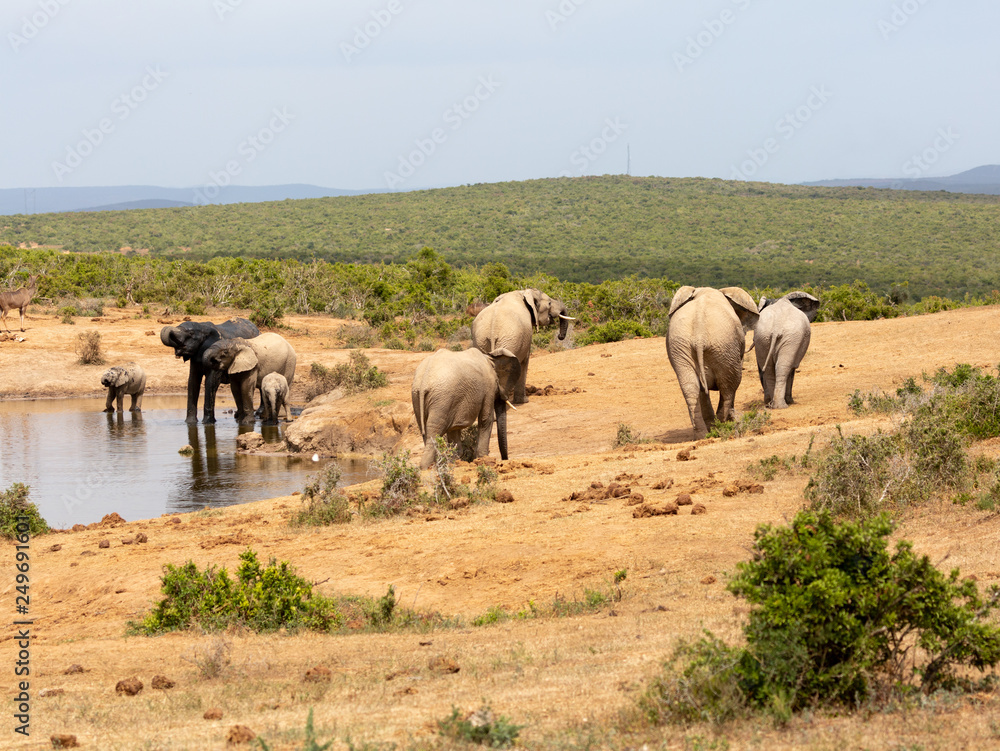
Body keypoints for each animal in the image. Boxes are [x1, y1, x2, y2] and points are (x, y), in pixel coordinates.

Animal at [664, 286, 756, 440]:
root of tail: (699, 336)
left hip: (680, 346)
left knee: (691, 388)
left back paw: (703, 435)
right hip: (725, 346)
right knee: (729, 386)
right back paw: (721, 426)